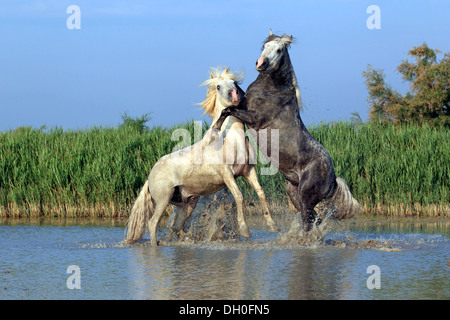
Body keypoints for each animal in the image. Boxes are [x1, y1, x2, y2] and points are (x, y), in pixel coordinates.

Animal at [124, 67, 278, 245]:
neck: (231, 139)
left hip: (188, 203)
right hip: (163, 199)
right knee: (152, 223)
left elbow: (260, 192)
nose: (233, 95)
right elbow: (239, 196)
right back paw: (156, 245)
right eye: (218, 86)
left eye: (234, 83)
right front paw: (244, 230)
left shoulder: (248, 170)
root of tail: (150, 176)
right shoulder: (227, 173)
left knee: (176, 227)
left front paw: (272, 226)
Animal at [214, 31, 362, 232]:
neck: (272, 89)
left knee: (309, 221)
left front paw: (217, 126)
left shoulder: (255, 119)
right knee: (314, 220)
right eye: (264, 46)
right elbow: (233, 103)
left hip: (306, 196)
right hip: (293, 192)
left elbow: (228, 110)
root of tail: (333, 177)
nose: (261, 63)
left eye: (279, 50)